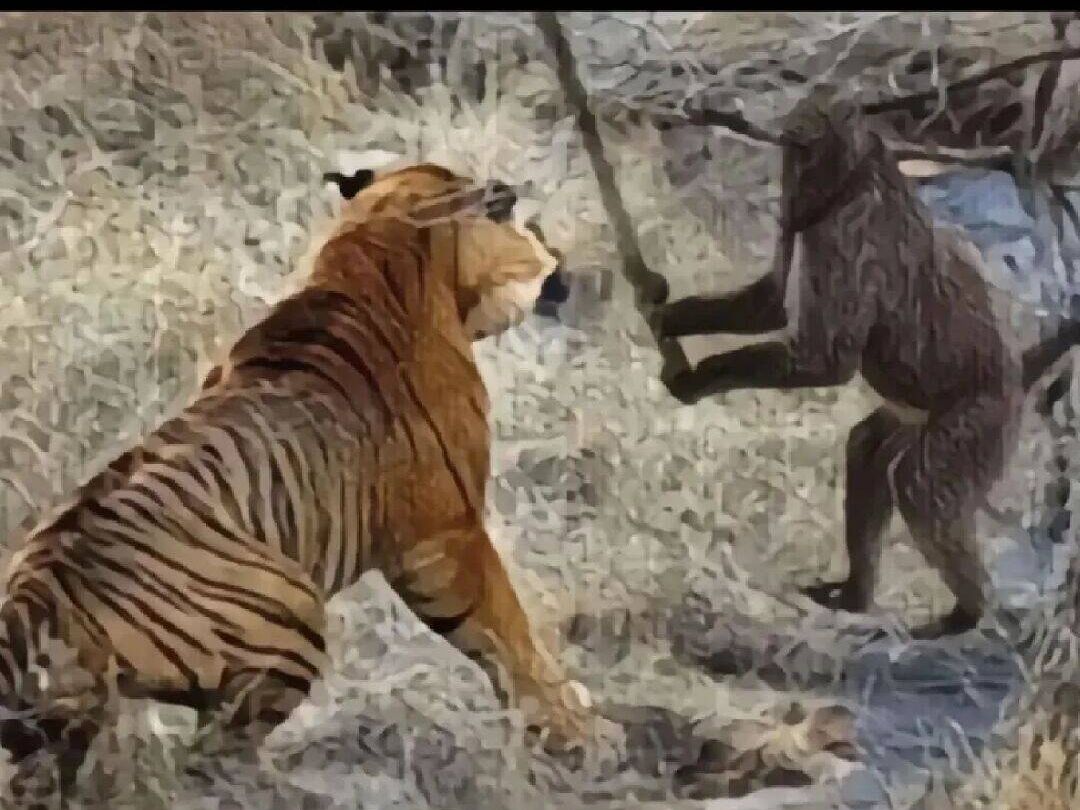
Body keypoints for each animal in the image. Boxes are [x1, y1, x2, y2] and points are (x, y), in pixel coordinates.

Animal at [0, 162, 593, 803]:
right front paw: (576, 731)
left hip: (58, 726)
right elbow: (508, 633)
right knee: (212, 761)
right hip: (293, 615)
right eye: (514, 217)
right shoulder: (446, 538)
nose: (561, 266)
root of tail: (31, 602)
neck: (371, 253)